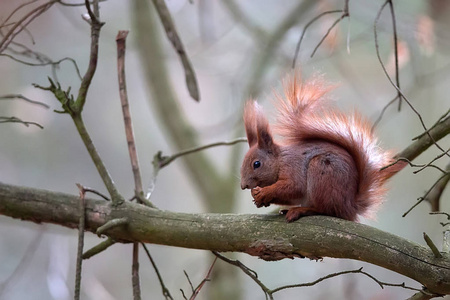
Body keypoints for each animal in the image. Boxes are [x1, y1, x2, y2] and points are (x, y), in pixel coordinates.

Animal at [241, 74, 406, 221]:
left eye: (257, 164)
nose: (244, 186)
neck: (280, 161)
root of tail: (350, 207)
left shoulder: (293, 168)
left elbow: (294, 186)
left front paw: (264, 192)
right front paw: (259, 198)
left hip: (321, 171)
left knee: (325, 210)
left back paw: (301, 210)